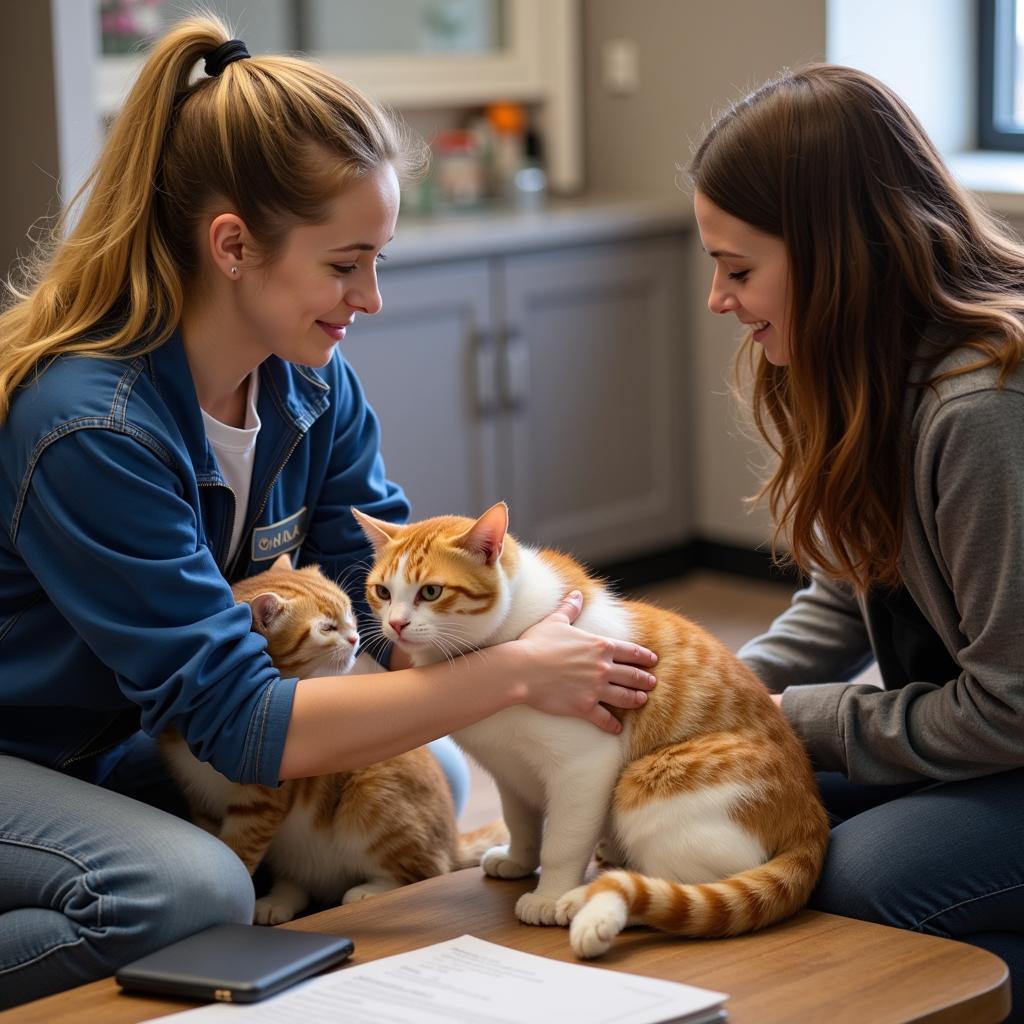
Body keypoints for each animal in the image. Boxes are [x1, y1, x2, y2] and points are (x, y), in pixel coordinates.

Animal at [158, 557, 503, 925]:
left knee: (426, 871)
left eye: (350, 613)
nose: (355, 638)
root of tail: (451, 839)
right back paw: (278, 900)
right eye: (325, 628)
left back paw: (369, 891)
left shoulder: (260, 803)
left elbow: (239, 855)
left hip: (372, 797)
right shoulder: (202, 800)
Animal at [354, 503, 831, 958]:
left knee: (673, 890)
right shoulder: (509, 769)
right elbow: (520, 823)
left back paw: (587, 905)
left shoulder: (583, 764)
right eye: (383, 592)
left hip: (645, 785)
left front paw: (549, 895)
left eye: (430, 592)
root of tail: (811, 815)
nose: (395, 624)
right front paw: (518, 860)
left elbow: (562, 842)